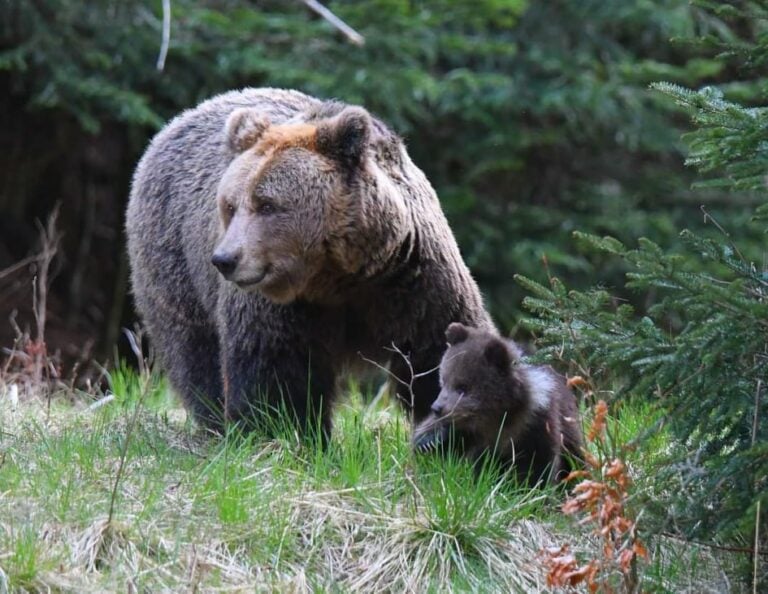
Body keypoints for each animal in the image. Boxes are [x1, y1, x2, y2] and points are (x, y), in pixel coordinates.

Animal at [126, 89, 492, 434]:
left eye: (266, 204)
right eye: (230, 205)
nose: (225, 259)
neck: (340, 275)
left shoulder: (414, 280)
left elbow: (438, 352)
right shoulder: (280, 306)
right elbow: (274, 369)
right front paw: (283, 432)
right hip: (172, 260)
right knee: (195, 350)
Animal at [414, 322, 584, 484]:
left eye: (462, 387)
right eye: (443, 380)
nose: (437, 408)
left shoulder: (535, 424)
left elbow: (537, 465)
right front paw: (428, 441)